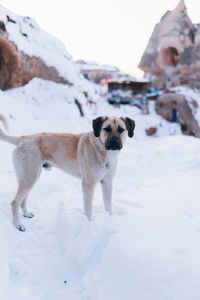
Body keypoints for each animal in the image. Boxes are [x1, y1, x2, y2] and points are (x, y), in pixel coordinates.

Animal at [0, 115, 135, 232]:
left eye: (121, 129)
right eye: (107, 129)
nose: (114, 142)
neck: (103, 151)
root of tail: (22, 138)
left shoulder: (107, 183)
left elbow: (108, 207)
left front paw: (109, 221)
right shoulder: (88, 185)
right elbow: (88, 210)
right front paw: (88, 226)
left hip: (32, 176)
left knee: (22, 200)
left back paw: (26, 214)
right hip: (29, 177)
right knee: (14, 202)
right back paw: (18, 224)